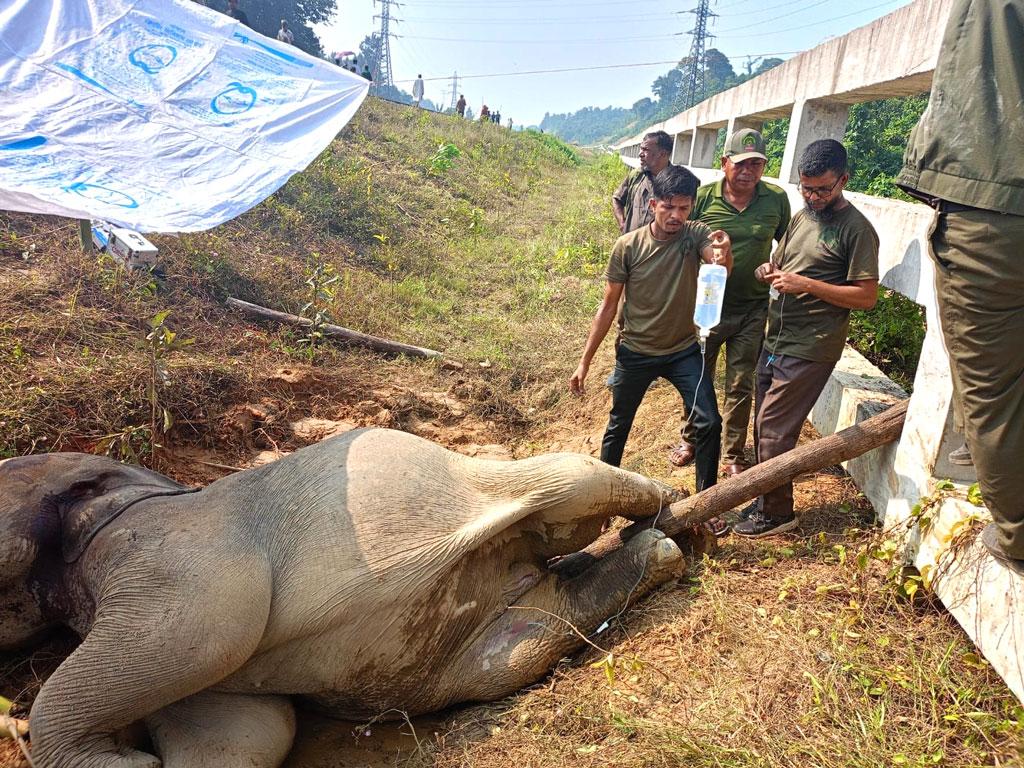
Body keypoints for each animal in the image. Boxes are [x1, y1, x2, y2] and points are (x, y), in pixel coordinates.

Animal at [0, 428, 692, 768]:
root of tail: (517, 572)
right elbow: (244, 735)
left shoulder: (174, 550)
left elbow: (206, 633)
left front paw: (122, 760)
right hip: (455, 652)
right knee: (515, 648)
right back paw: (656, 551)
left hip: (485, 477)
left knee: (568, 481)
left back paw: (667, 504)